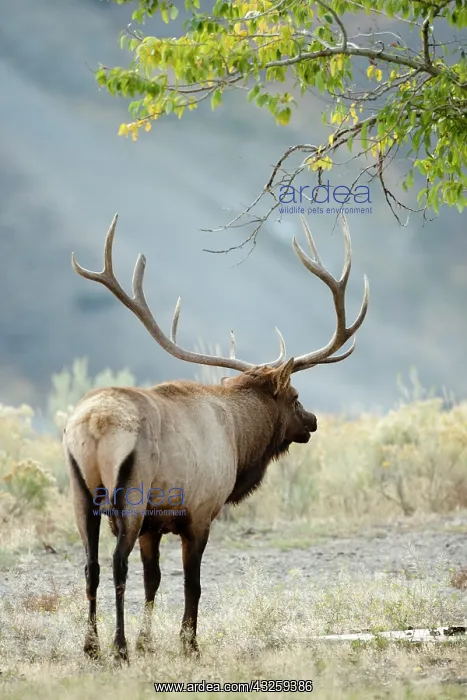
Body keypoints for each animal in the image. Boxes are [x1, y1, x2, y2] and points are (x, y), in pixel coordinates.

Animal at [63, 213, 369, 663]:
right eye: (295, 396)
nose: (312, 421)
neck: (240, 444)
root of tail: (95, 423)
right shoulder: (201, 512)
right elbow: (193, 583)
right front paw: (188, 644)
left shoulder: (155, 524)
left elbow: (153, 580)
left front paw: (148, 641)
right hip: (129, 492)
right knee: (116, 564)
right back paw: (118, 649)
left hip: (80, 491)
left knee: (91, 566)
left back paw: (90, 646)